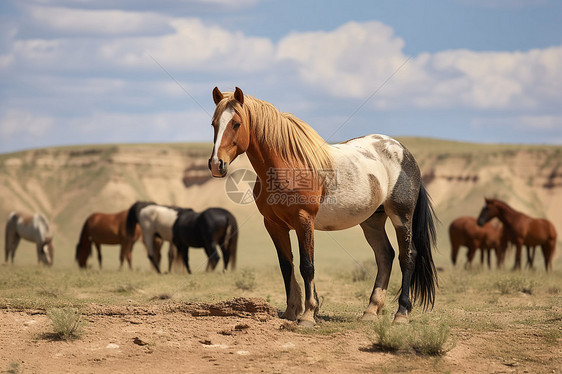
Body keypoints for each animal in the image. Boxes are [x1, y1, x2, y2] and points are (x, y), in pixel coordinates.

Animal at [208, 87, 436, 324]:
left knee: (407, 257)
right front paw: (291, 311)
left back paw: (401, 314)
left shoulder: (304, 220)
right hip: (372, 221)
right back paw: (370, 311)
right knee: (385, 256)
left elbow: (307, 266)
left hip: (401, 216)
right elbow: (286, 265)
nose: (216, 164)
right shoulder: (274, 225)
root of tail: (404, 152)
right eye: (214, 123)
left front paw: (308, 314)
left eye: (236, 123)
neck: (288, 166)